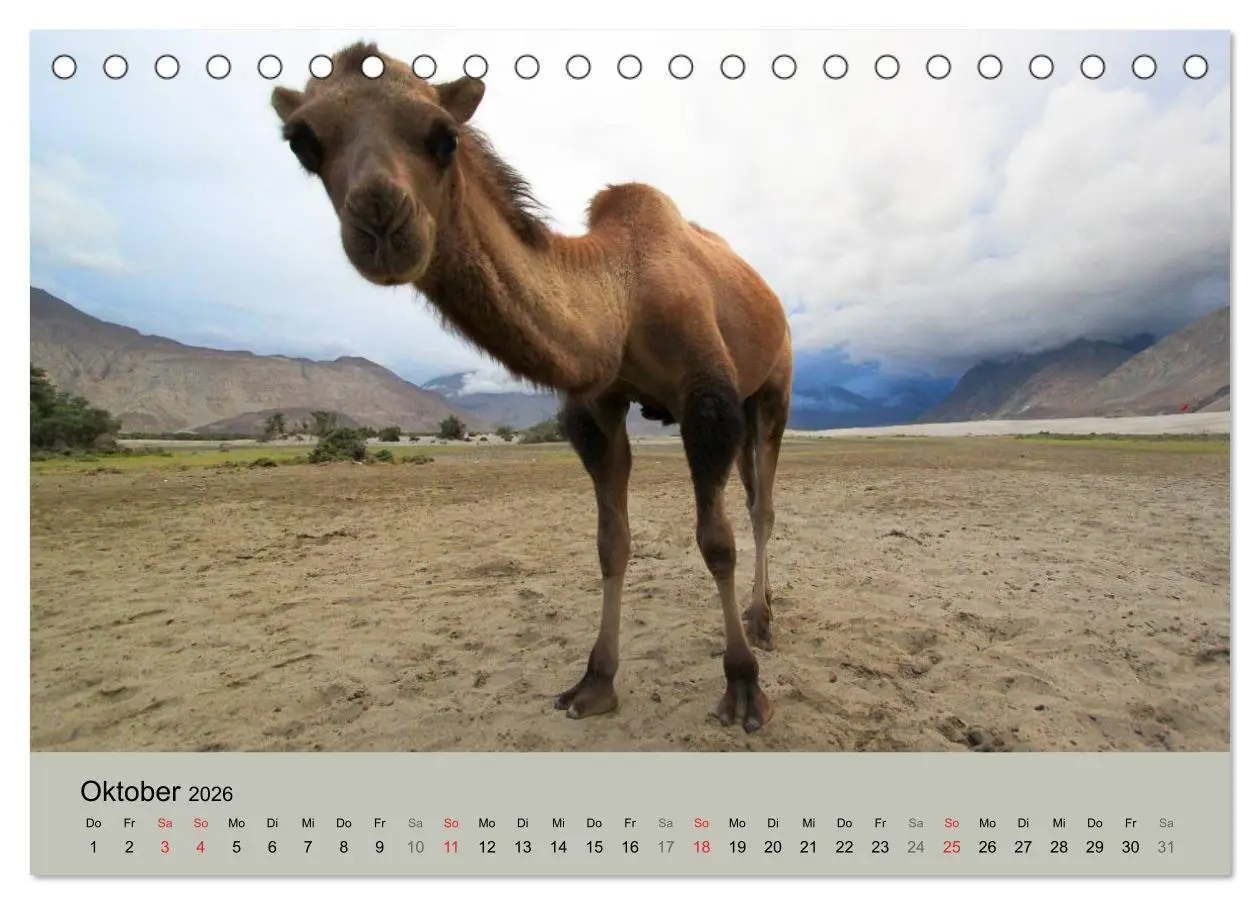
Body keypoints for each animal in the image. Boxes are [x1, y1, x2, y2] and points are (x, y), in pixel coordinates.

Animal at [269, 43, 793, 732]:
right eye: (303, 142)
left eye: (443, 136)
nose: (381, 221)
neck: (620, 295)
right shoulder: (596, 407)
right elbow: (610, 543)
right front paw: (594, 682)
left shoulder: (708, 400)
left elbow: (717, 542)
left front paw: (742, 687)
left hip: (774, 386)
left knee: (762, 505)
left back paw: (763, 620)